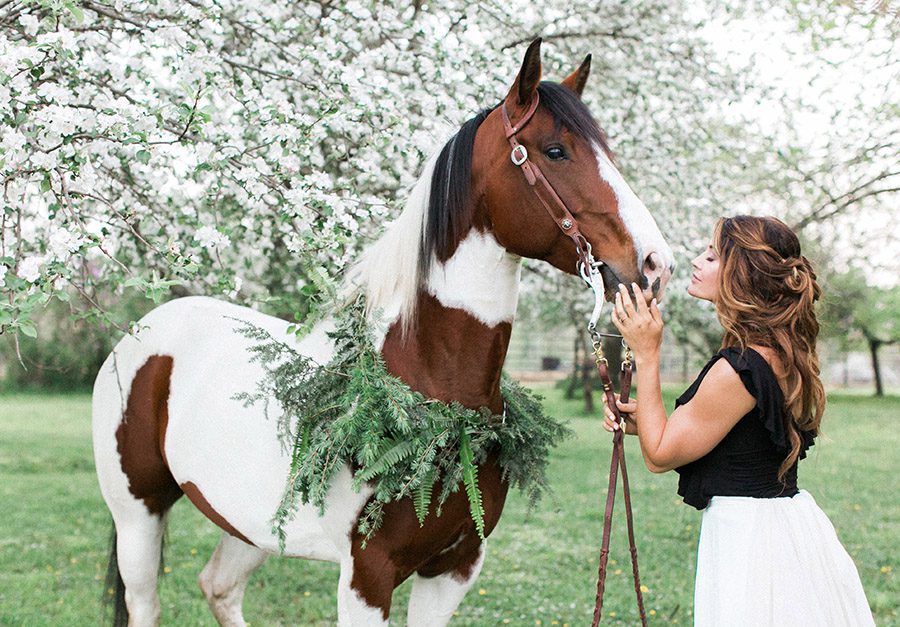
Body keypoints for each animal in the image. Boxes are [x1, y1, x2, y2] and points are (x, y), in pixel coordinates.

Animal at [95, 40, 676, 627]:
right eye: (556, 151)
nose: (656, 264)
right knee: (147, 601)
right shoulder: (366, 577)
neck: (422, 386)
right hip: (138, 517)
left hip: (250, 524)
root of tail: (141, 333)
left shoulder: (455, 567)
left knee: (218, 587)